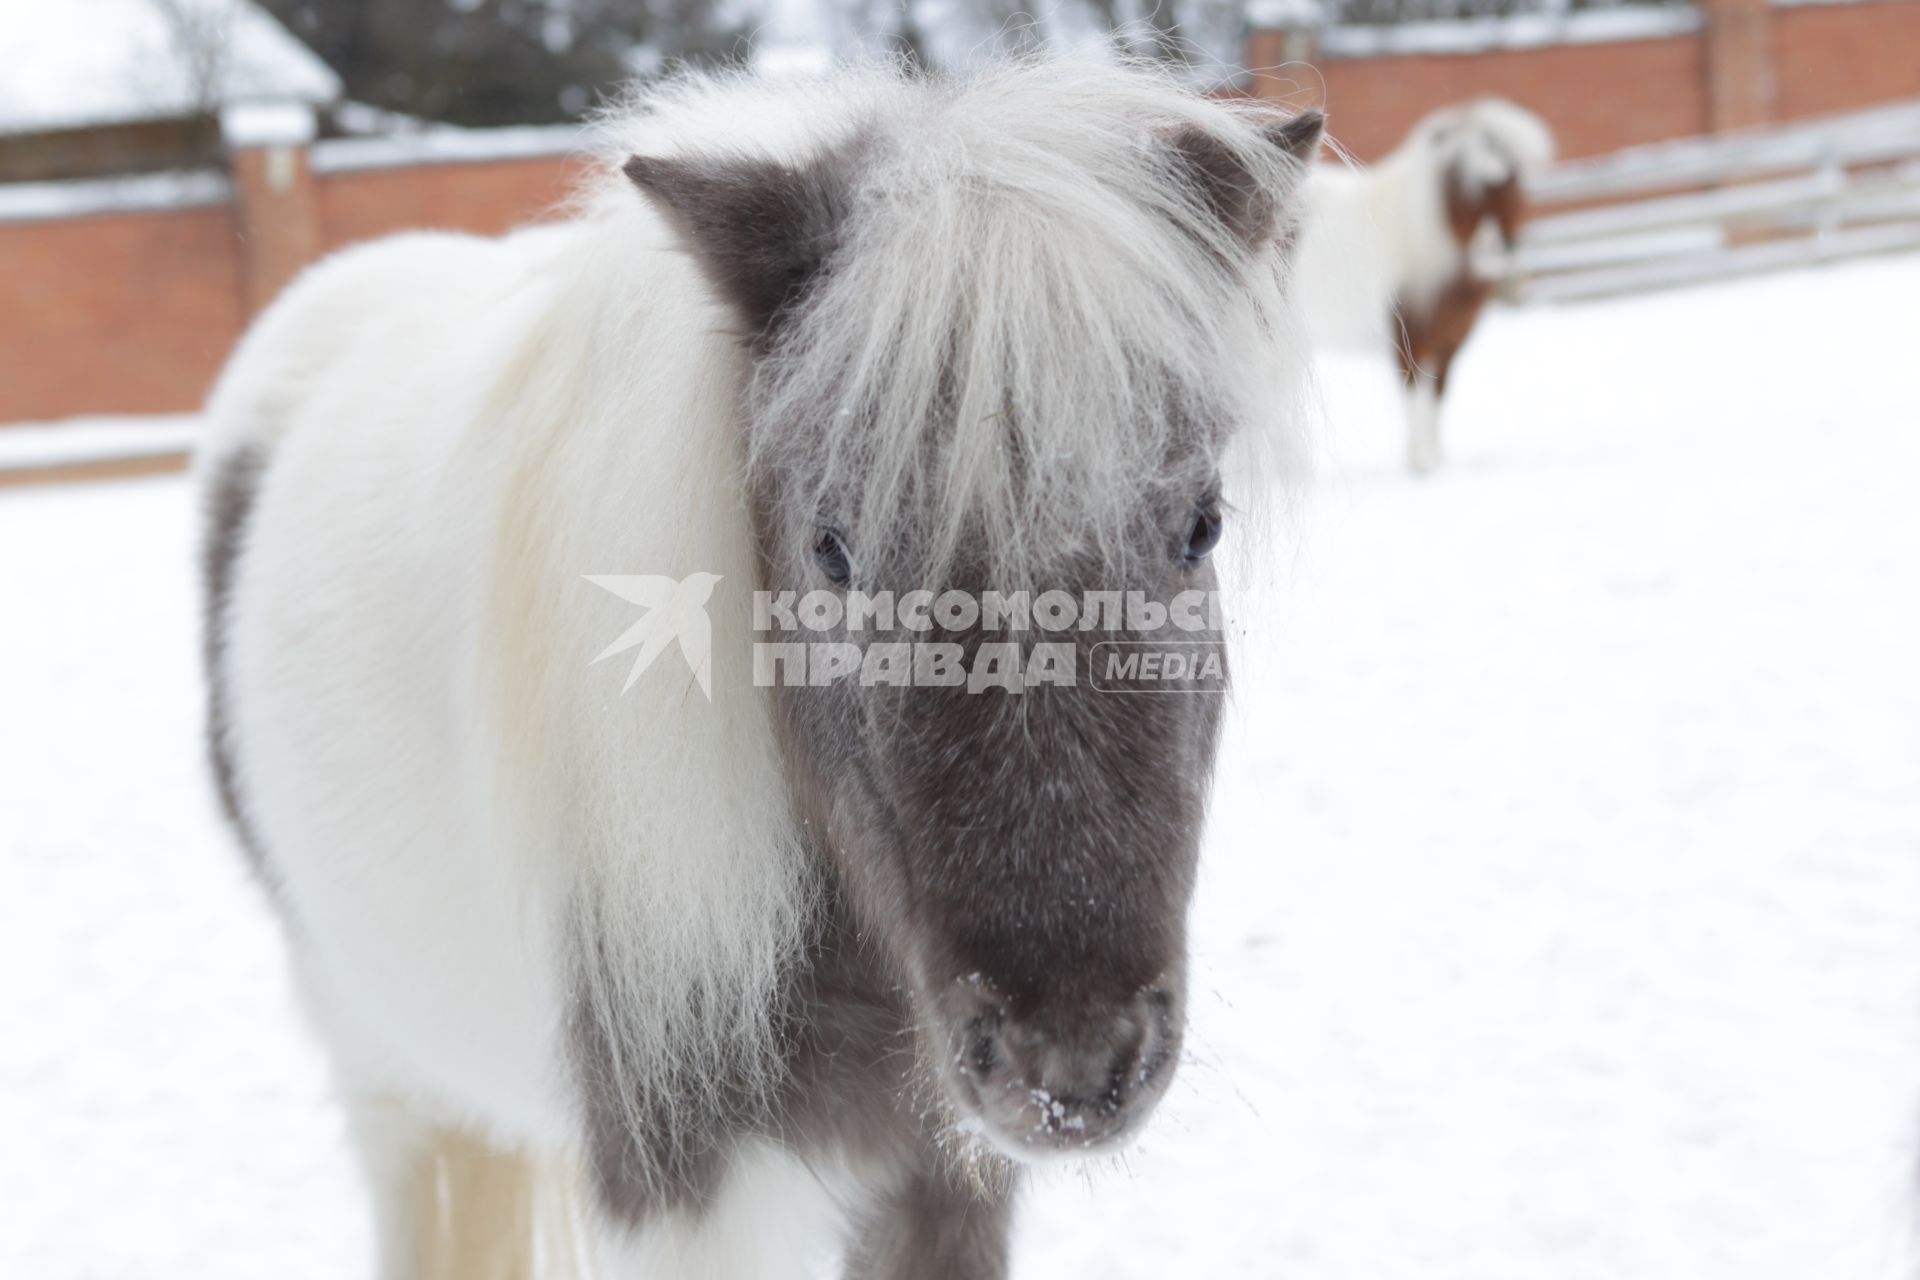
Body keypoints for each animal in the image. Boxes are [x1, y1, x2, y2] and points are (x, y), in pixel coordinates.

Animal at [202, 55, 1328, 1274]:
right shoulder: (687, 1190)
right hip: (384, 1071)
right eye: (832, 548)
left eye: (1203, 524)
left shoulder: (946, 1175)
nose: (1070, 1064)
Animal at [1290, 98, 1559, 470]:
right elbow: (1416, 400)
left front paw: (1436, 459)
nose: (1492, 254)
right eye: (1463, 183)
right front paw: (1421, 464)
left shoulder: (1449, 343)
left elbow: (1436, 400)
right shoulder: (1409, 344)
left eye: (1515, 181)